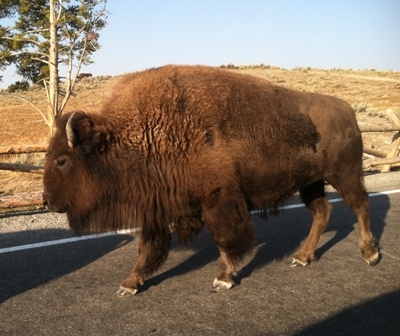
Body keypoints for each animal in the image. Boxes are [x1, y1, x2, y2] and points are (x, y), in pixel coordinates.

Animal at [43, 65, 378, 296]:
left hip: (343, 174)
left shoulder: (218, 200)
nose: (47, 201)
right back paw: (302, 257)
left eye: (62, 160)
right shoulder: (157, 208)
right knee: (323, 212)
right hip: (311, 183)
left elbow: (224, 240)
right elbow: (148, 248)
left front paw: (223, 279)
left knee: (361, 205)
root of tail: (348, 111)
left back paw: (369, 254)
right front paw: (129, 284)